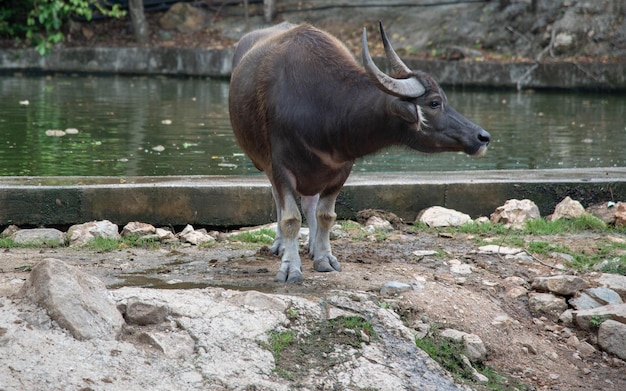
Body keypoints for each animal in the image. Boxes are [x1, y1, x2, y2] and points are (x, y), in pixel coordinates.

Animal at [228, 23, 488, 284]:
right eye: (434, 103)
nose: (482, 137)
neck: (323, 108)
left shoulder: (341, 169)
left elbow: (326, 215)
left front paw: (324, 258)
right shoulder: (280, 168)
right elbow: (290, 218)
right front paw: (291, 267)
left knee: (310, 203)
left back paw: (311, 246)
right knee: (280, 201)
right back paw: (281, 245)